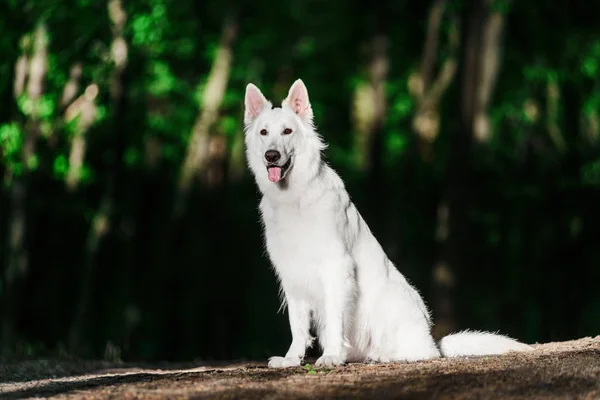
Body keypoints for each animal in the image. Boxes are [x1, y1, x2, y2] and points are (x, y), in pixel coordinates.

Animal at [241, 79, 532, 368]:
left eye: (287, 131)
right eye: (264, 132)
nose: (271, 155)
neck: (295, 196)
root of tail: (432, 338)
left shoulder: (336, 268)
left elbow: (335, 320)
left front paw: (332, 355)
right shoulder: (292, 276)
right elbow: (297, 325)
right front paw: (292, 358)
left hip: (390, 301)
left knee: (424, 352)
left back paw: (382, 355)